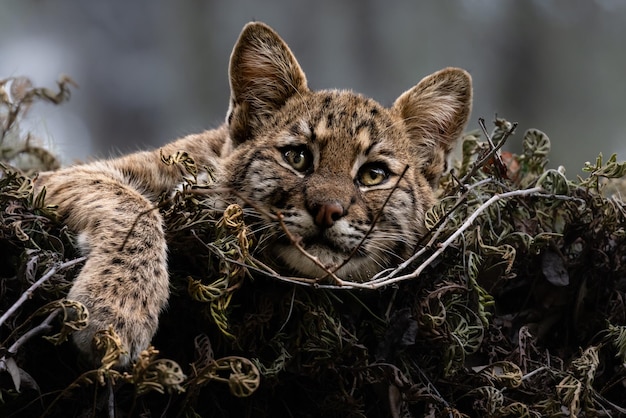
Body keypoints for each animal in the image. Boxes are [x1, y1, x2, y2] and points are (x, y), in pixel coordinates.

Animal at [34, 22, 470, 366]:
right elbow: (134, 204)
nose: (327, 210)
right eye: (296, 157)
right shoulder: (53, 177)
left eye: (373, 174)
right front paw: (115, 312)